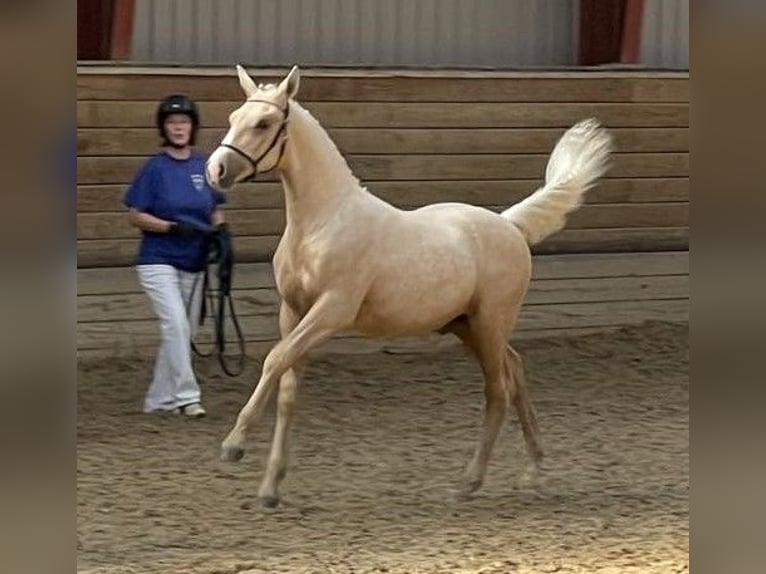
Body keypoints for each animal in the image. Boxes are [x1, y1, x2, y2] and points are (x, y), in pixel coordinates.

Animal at [207, 65, 616, 510]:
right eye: (233, 117)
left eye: (263, 123)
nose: (216, 170)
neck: (322, 222)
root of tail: (509, 225)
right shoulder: (293, 311)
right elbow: (286, 387)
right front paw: (269, 488)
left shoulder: (332, 311)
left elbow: (273, 360)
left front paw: (233, 445)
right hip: (467, 326)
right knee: (516, 368)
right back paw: (534, 471)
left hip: (490, 323)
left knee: (498, 391)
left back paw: (469, 483)